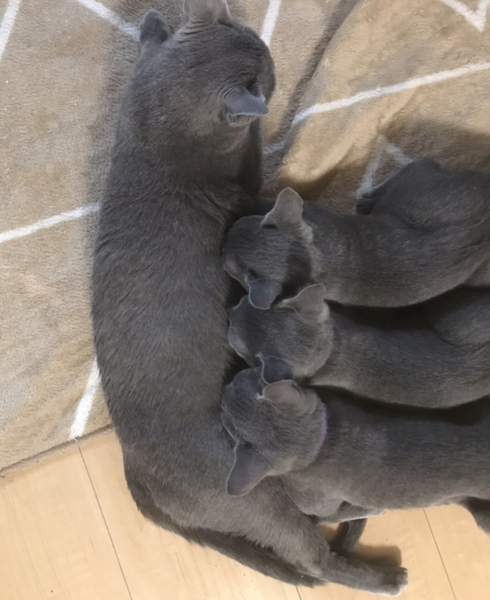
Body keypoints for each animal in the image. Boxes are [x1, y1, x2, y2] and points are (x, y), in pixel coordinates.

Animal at [91, 3, 407, 593]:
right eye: (268, 72)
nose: (265, 49)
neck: (157, 132)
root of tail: (136, 478)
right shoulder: (245, 167)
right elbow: (256, 149)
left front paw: (155, 26)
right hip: (258, 490)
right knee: (313, 558)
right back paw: (384, 575)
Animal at [222, 159, 490, 309]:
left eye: (230, 268)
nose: (226, 236)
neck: (319, 258)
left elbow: (260, 199)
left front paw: (238, 198)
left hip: (416, 185)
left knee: (422, 162)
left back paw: (367, 199)